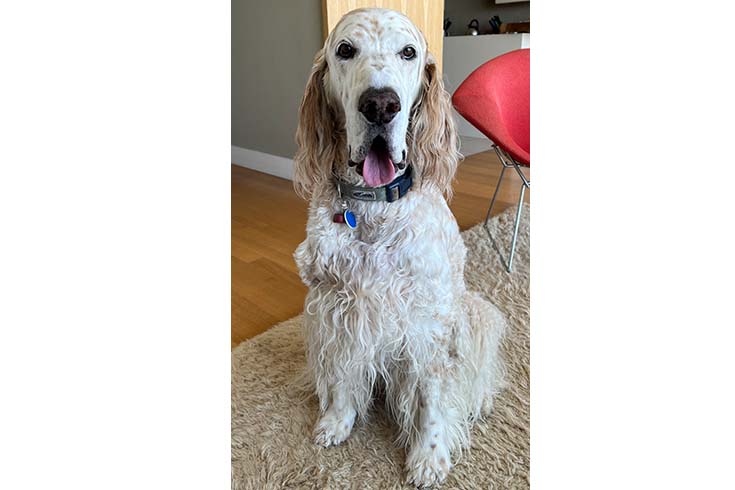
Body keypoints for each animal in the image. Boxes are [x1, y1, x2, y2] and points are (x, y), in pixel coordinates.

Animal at [292, 7, 506, 486]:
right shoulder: (337, 306)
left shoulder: (427, 324)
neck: (372, 209)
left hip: (476, 313)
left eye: (408, 52)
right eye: (345, 50)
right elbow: (342, 375)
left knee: (474, 376)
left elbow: (431, 397)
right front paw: (337, 421)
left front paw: (428, 456)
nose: (379, 105)